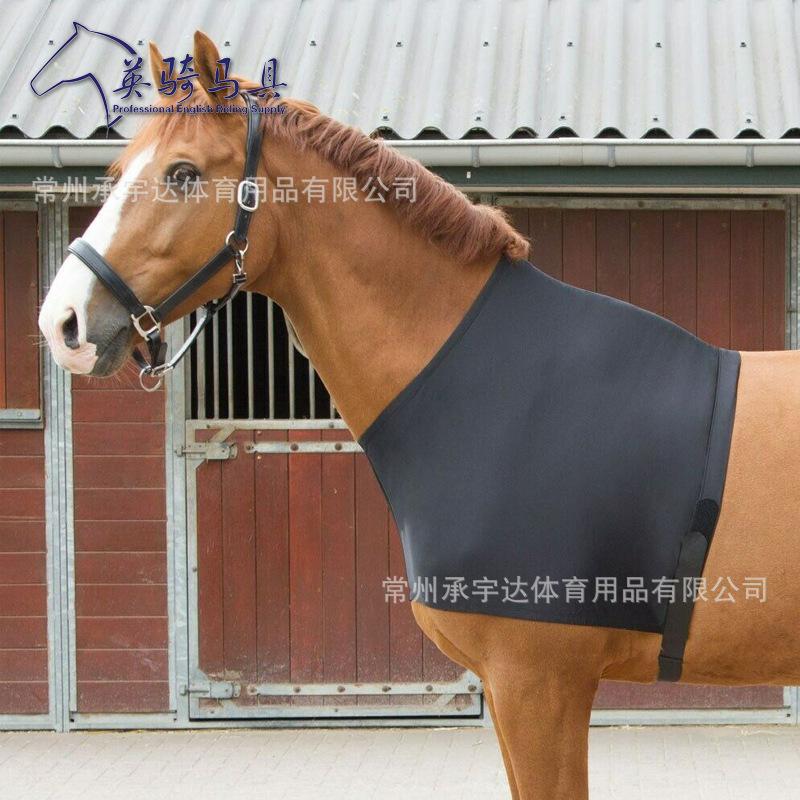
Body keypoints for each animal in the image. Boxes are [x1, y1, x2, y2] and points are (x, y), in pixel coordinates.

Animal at [38, 31, 800, 800]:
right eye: (119, 169)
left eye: (183, 174)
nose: (63, 322)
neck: (498, 388)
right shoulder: (515, 688)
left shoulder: (539, 683)